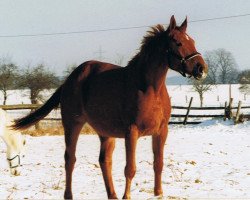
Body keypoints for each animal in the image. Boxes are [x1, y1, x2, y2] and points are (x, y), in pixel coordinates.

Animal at [12, 15, 207, 198]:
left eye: (193, 41)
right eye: (178, 42)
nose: (201, 69)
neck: (150, 88)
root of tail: (70, 79)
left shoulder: (161, 131)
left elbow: (158, 164)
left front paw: (158, 194)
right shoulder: (131, 131)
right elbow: (130, 168)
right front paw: (126, 196)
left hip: (105, 132)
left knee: (104, 160)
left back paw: (112, 195)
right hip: (72, 124)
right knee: (70, 159)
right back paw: (69, 195)